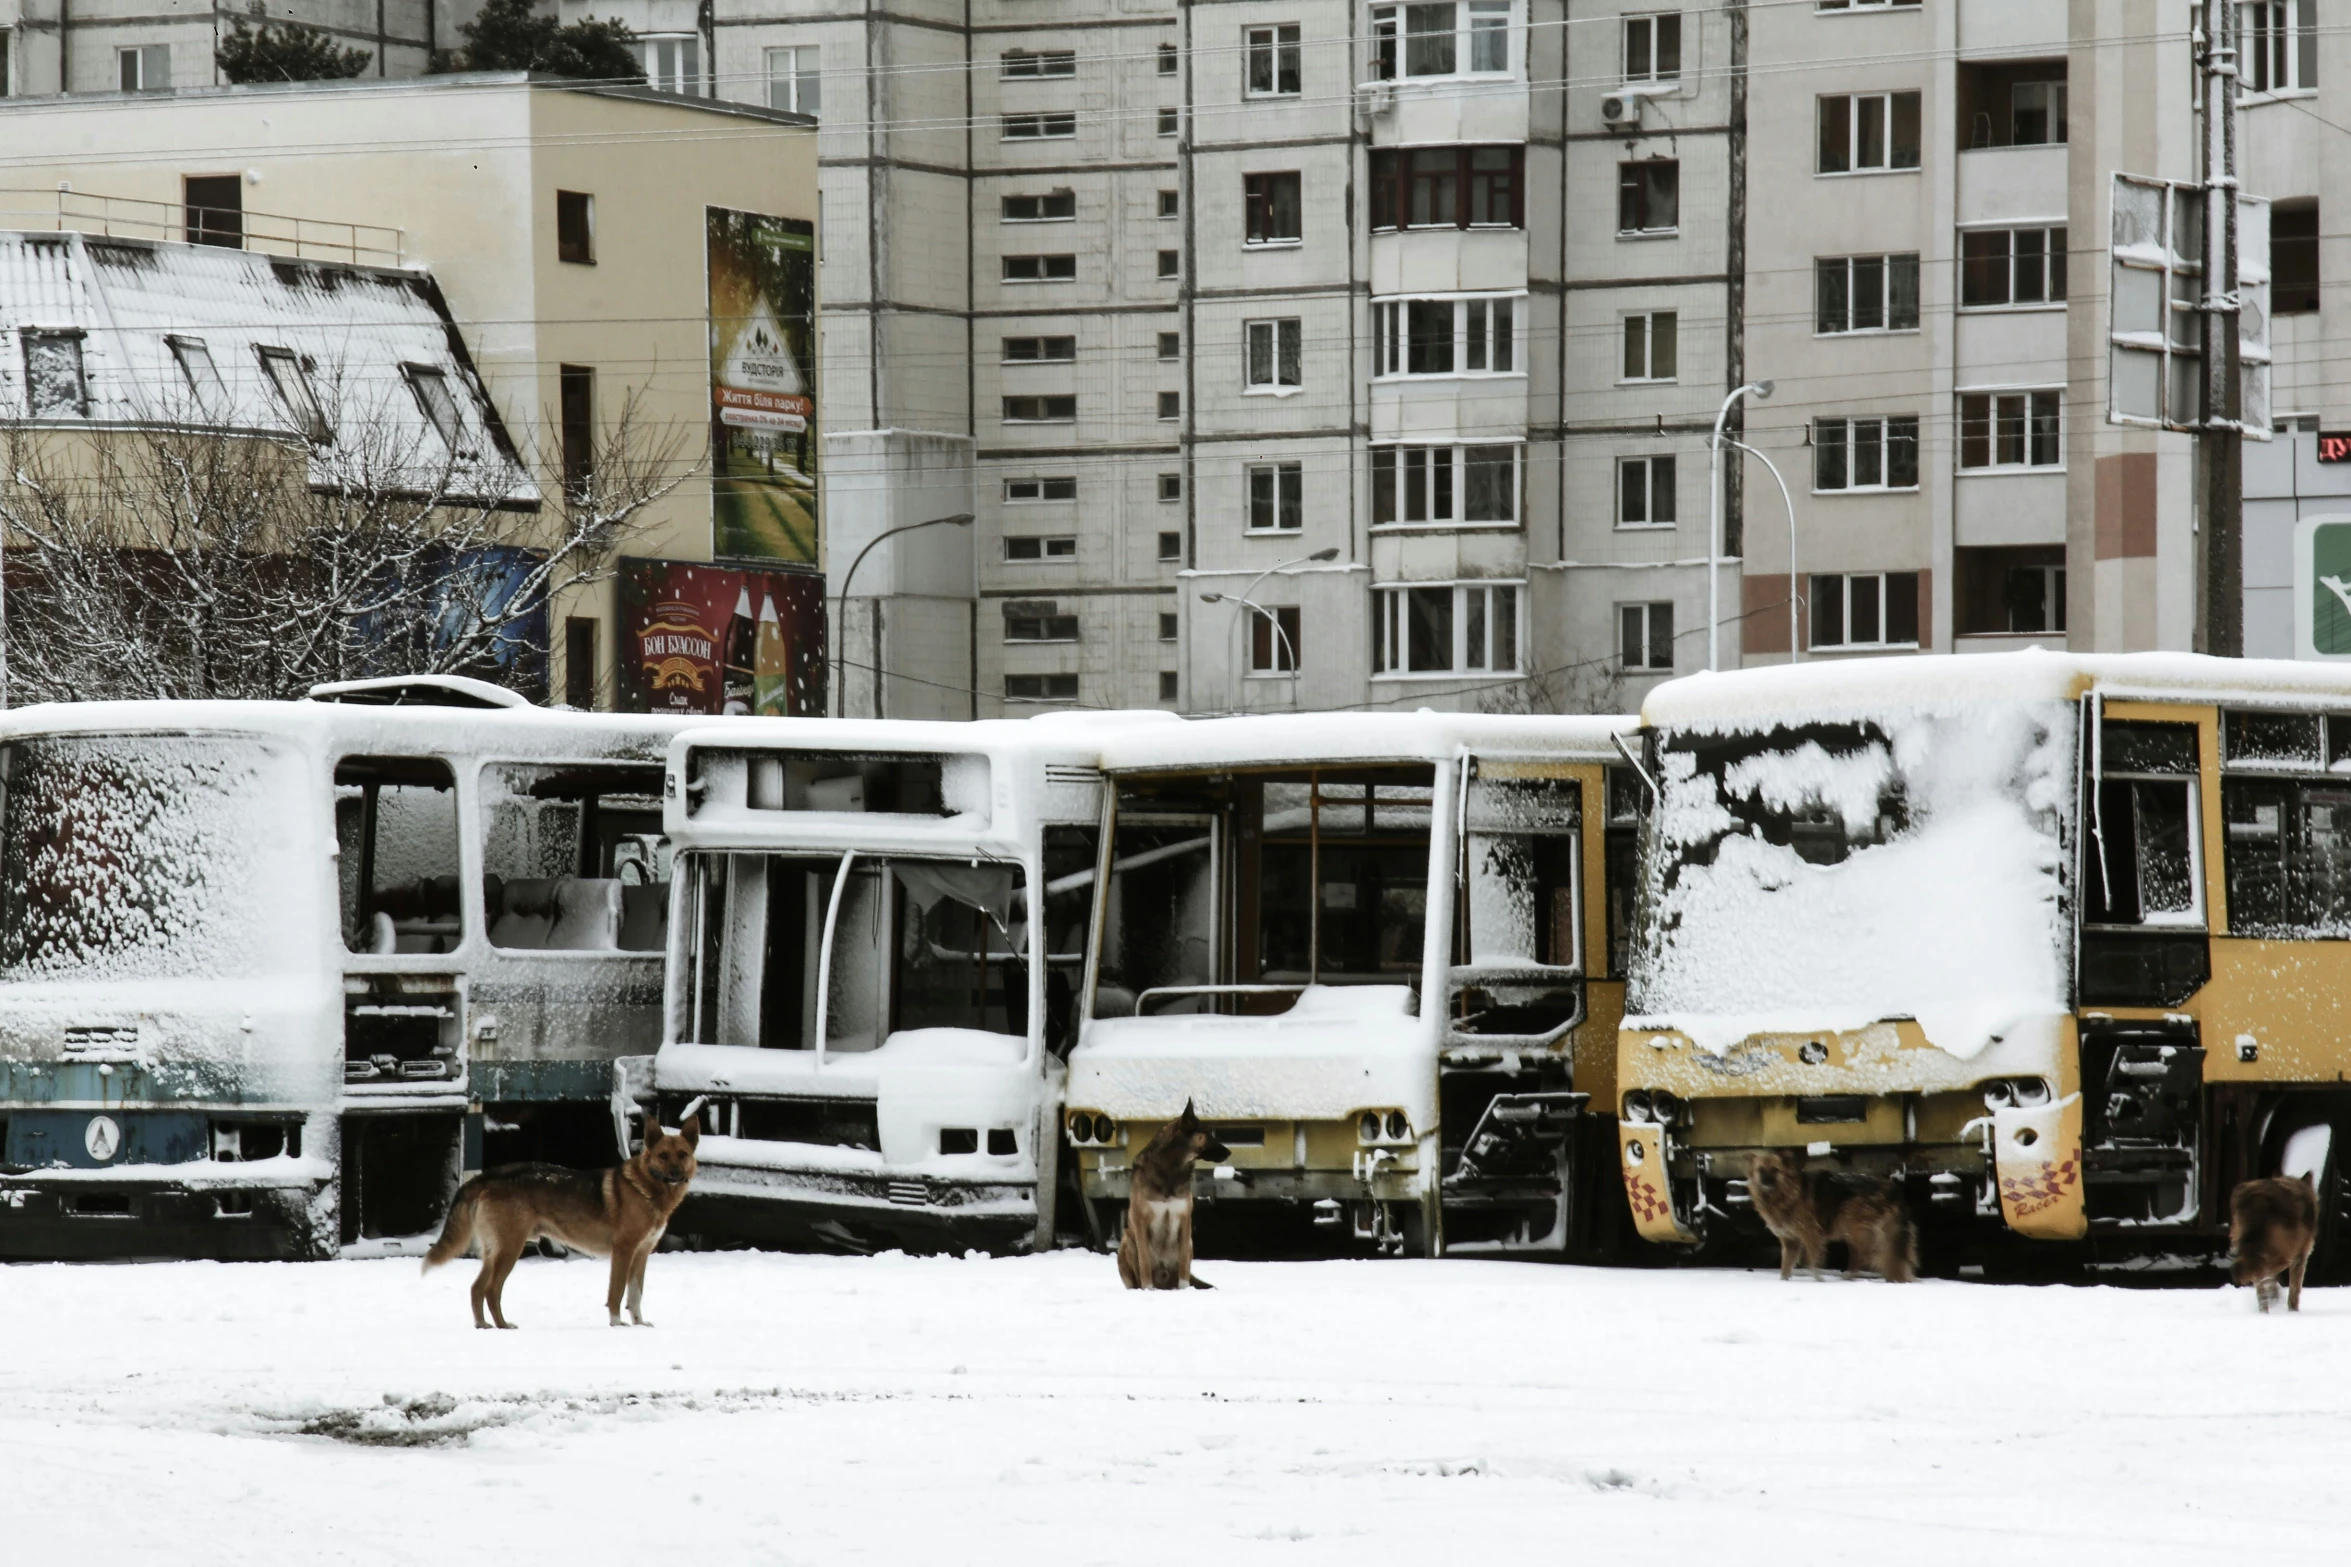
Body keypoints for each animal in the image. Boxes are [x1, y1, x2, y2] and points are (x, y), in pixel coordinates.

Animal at [423, 1108, 695, 1334]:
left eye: (682, 1154)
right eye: (663, 1156)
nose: (676, 1174)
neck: (647, 1189)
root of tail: (485, 1177)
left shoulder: (642, 1253)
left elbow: (635, 1295)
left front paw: (639, 1324)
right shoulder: (623, 1251)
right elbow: (616, 1293)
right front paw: (617, 1324)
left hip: (494, 1251)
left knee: (477, 1288)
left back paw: (483, 1325)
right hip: (510, 1248)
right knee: (491, 1290)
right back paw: (503, 1326)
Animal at [1114, 1099, 1231, 1296]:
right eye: (1207, 1133)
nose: (1229, 1152)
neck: (1172, 1169)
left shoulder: (1184, 1220)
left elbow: (1184, 1263)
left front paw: (1185, 1290)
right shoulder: (1140, 1221)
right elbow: (1144, 1262)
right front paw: (1148, 1289)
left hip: (1189, 1242)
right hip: (1127, 1239)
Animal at [1749, 1151, 1909, 1287]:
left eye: (1775, 1170)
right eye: (1761, 1170)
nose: (1766, 1182)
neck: (1785, 1194)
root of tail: (1891, 1189)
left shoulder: (1811, 1234)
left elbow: (1813, 1262)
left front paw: (1820, 1280)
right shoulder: (1791, 1242)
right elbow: (1786, 1267)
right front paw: (1783, 1282)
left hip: (1850, 1219)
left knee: (1864, 1254)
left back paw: (1849, 1276)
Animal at [2228, 1174, 2322, 1315]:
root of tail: (2256, 1196)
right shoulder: (2300, 1256)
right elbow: (2294, 1290)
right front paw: (2293, 1312)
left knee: (2256, 1274)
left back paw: (2264, 1310)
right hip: (2283, 1255)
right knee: (2261, 1271)